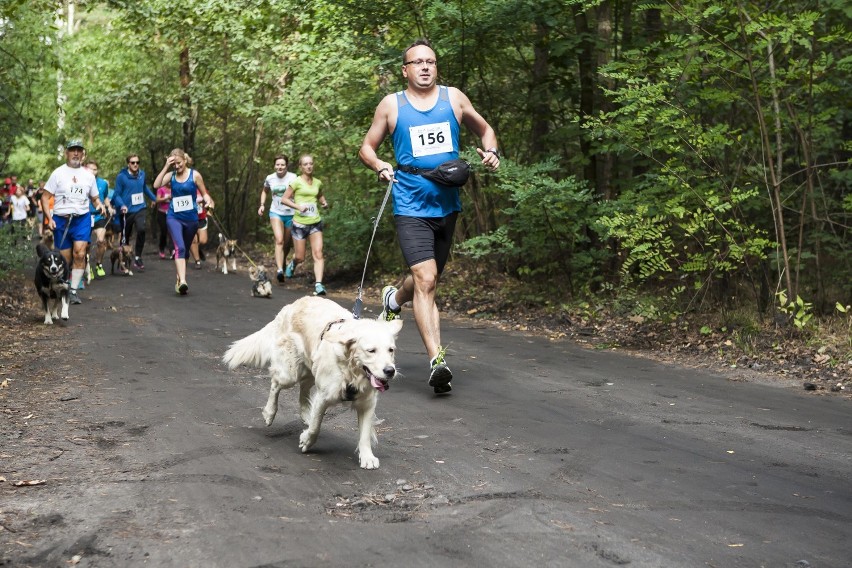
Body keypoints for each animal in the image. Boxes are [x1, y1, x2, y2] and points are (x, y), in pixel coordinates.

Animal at [223, 298, 402, 470]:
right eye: (371, 351)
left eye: (391, 350)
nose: (390, 371)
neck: (350, 370)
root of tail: (291, 306)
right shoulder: (324, 396)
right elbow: (316, 426)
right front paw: (306, 441)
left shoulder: (367, 402)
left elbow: (364, 434)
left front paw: (367, 457)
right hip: (290, 373)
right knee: (275, 384)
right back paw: (269, 413)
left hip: (311, 369)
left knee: (303, 389)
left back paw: (305, 414)